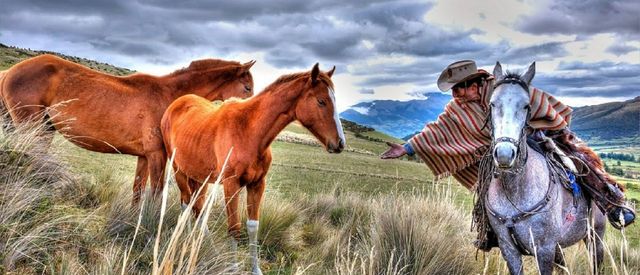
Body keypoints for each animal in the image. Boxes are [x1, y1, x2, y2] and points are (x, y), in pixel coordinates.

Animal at [0, 55, 255, 203]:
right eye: (247, 87)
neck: (170, 97)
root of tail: (10, 72)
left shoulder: (144, 156)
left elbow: (138, 191)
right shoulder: (157, 155)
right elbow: (156, 192)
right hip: (32, 128)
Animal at [162, 63, 348, 274]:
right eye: (321, 101)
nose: (340, 143)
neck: (249, 132)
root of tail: (176, 104)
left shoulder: (258, 184)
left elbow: (252, 226)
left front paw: (255, 269)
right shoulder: (231, 185)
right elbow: (234, 227)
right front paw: (233, 267)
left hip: (200, 177)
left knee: (198, 208)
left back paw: (207, 246)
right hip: (179, 170)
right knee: (186, 203)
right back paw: (184, 240)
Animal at [484, 61, 604, 274]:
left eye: (526, 105)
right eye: (492, 104)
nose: (505, 154)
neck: (514, 191)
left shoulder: (544, 249)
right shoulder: (509, 250)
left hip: (595, 236)